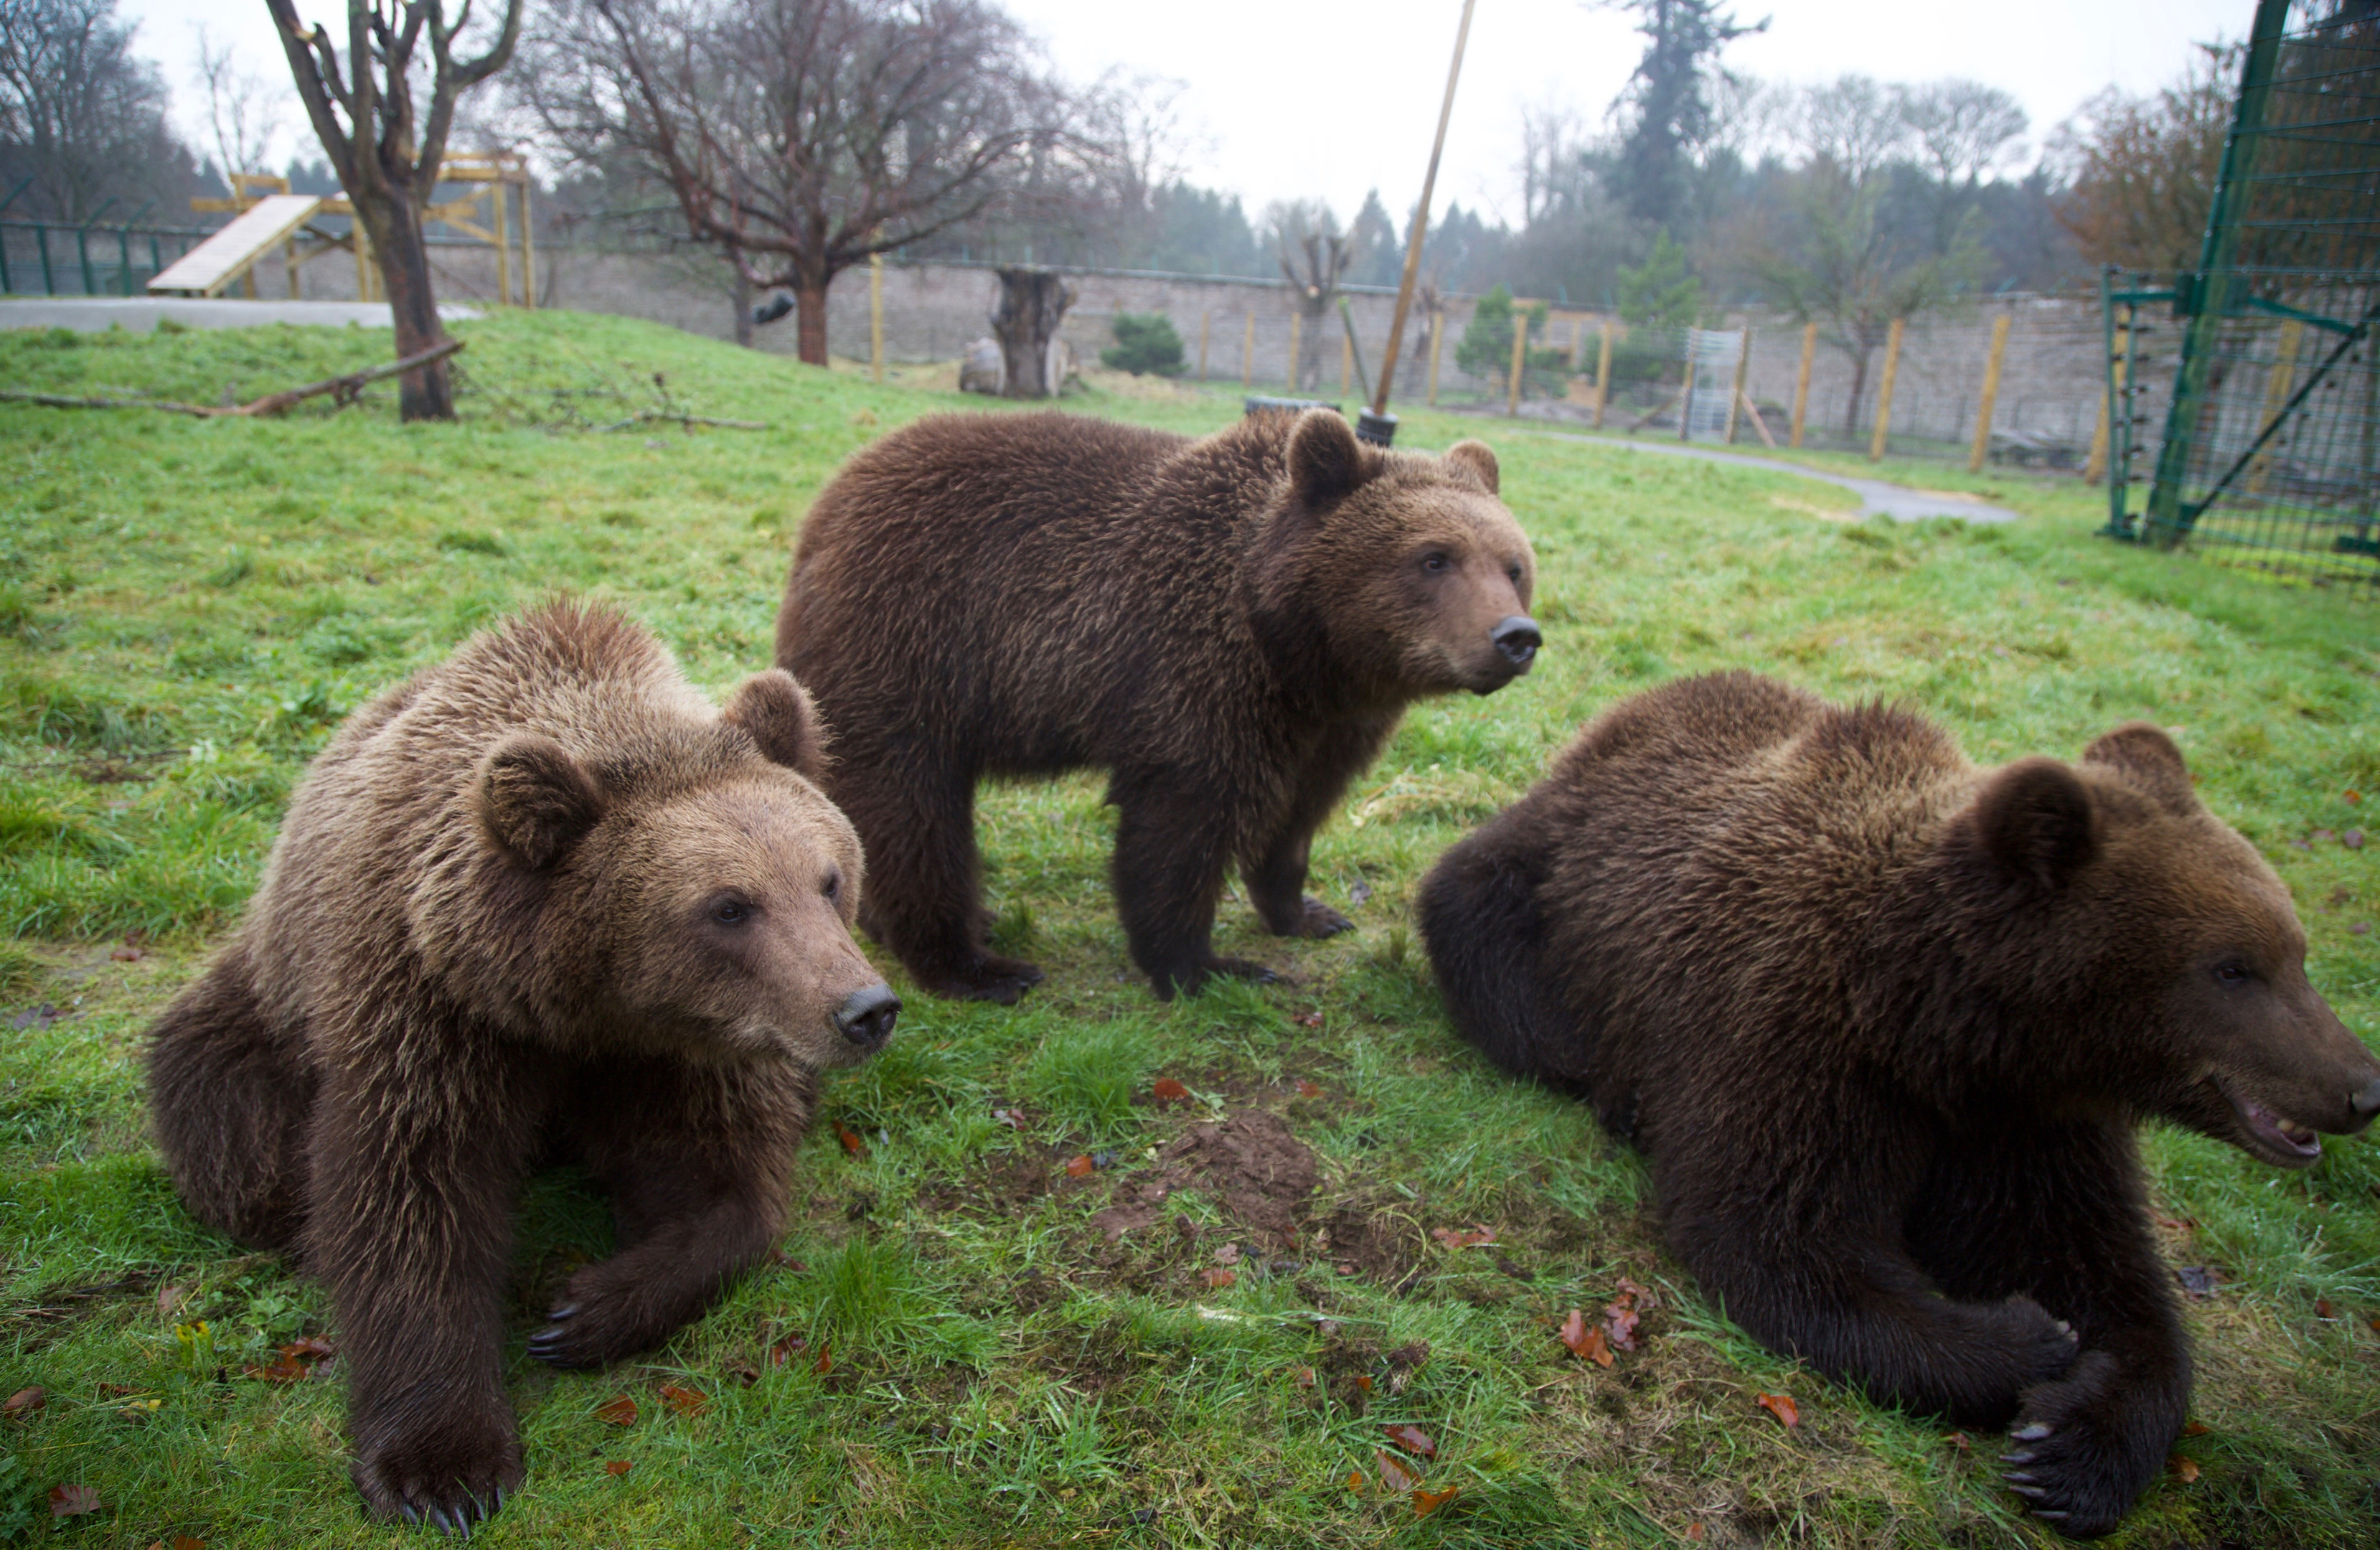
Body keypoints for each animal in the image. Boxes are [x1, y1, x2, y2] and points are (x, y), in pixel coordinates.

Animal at [144, 600, 899, 1533]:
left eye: (828, 878)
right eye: (728, 906)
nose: (864, 1008)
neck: (579, 1003)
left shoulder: (682, 1051)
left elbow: (724, 1185)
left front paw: (583, 1310)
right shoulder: (430, 1005)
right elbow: (411, 1192)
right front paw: (444, 1466)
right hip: (264, 1000)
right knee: (229, 1122)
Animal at [780, 407, 1542, 1000]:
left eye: (1513, 565)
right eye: (1434, 558)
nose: (1515, 637)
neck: (1298, 649)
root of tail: (825, 510)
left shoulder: (1328, 725)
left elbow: (1296, 816)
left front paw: (1307, 912)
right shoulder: (1192, 674)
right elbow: (1180, 827)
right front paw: (1205, 965)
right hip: (911, 649)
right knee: (914, 811)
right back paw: (974, 963)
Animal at [1408, 676, 2380, 1543]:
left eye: (2292, 950)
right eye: (2231, 968)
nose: (2360, 1087)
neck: (1939, 1027)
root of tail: (1610, 721)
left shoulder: (2021, 1123)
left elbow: (2110, 1278)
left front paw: (2070, 1450)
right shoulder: (1798, 1044)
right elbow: (1782, 1239)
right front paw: (2028, 1338)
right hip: (1531, 901)